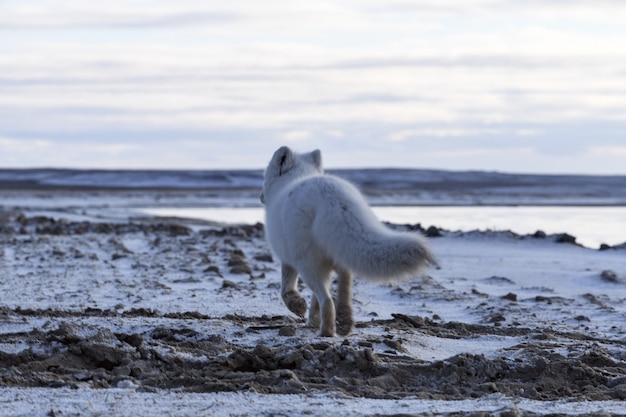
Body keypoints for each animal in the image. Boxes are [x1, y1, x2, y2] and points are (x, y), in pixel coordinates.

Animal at [258, 145, 434, 334]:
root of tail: (335, 199)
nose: (260, 196)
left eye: (265, 178)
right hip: (341, 252)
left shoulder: (287, 257)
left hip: (308, 262)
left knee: (327, 299)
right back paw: (344, 321)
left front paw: (298, 306)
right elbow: (314, 299)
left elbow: (287, 288)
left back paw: (327, 332)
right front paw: (312, 320)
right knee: (343, 286)